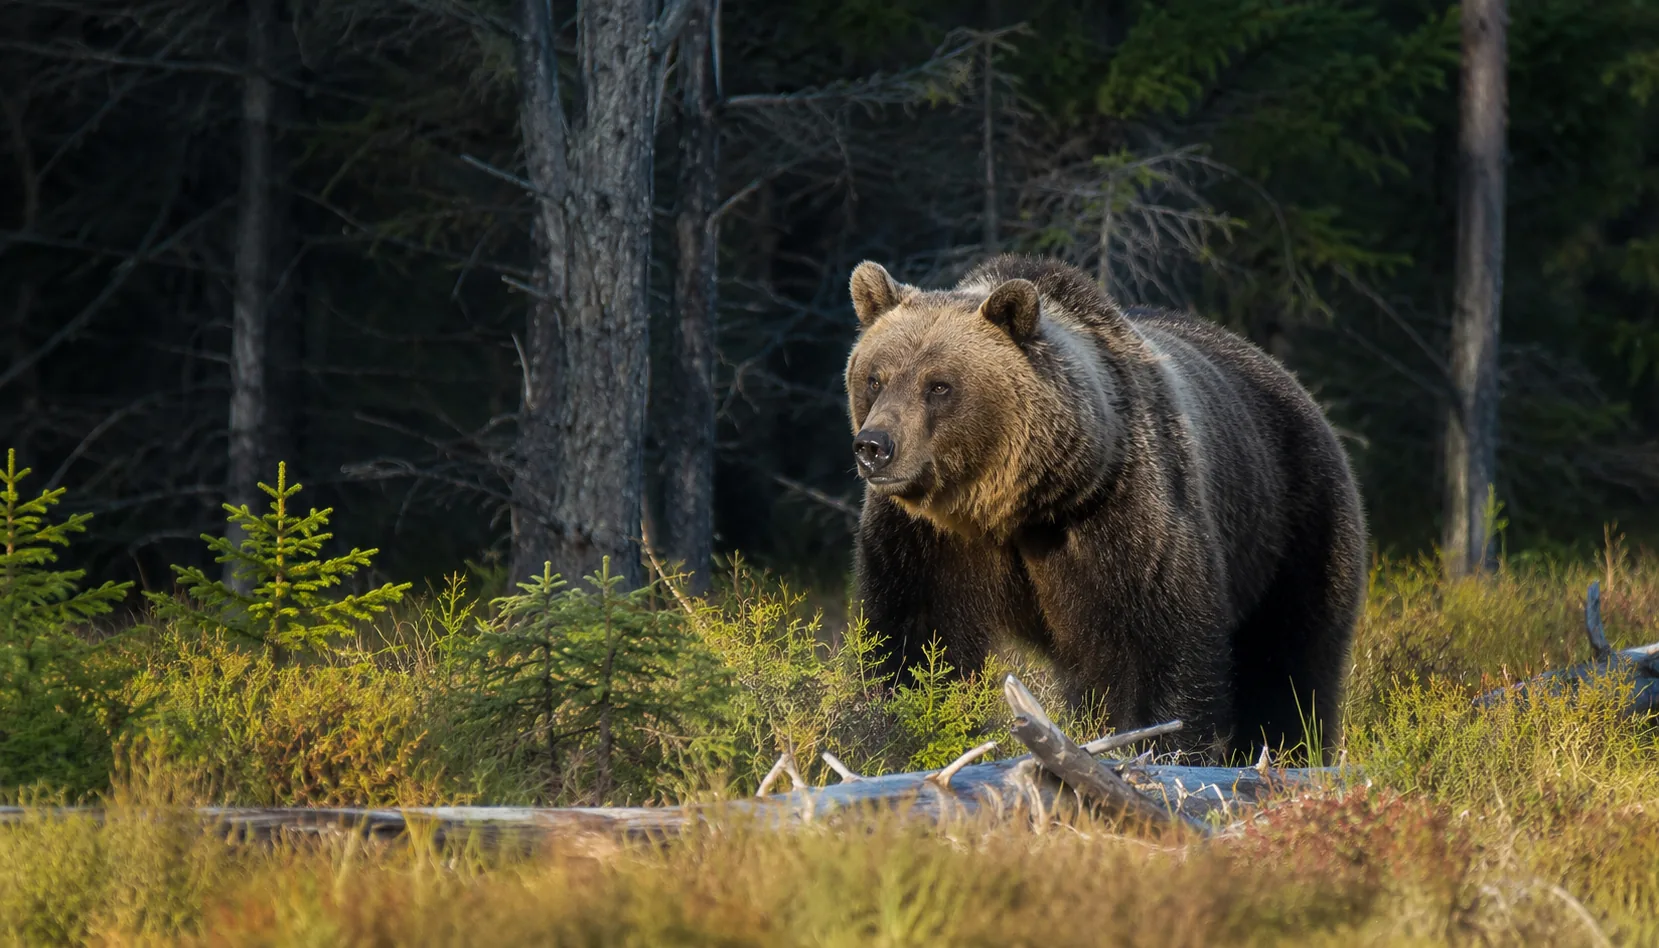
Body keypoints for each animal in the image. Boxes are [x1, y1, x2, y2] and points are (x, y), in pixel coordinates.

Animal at [844, 254, 1367, 764]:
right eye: (874, 378)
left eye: (939, 386)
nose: (874, 447)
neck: (1012, 507)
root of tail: (1289, 379)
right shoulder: (925, 539)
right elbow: (914, 640)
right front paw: (901, 732)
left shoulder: (1120, 514)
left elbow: (1156, 642)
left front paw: (1160, 746)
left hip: (1293, 518)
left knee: (1289, 656)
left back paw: (1288, 750)